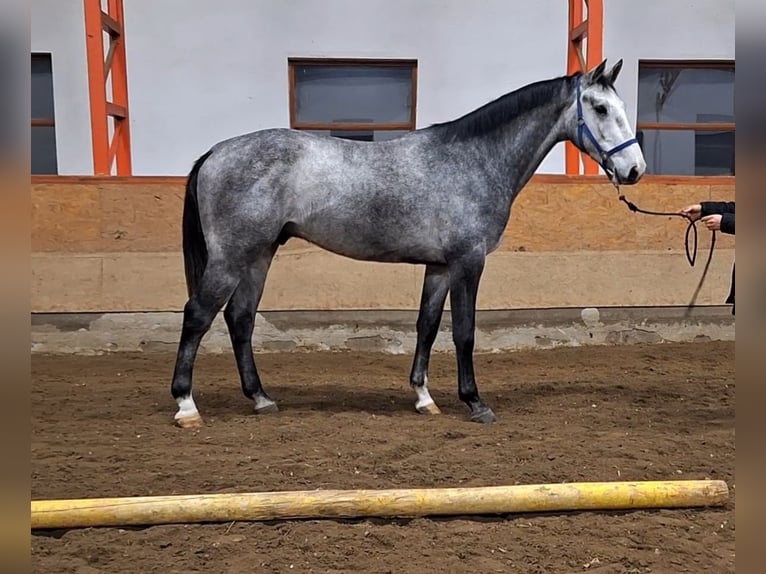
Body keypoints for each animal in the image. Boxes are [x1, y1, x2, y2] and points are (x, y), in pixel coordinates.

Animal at [170, 59, 648, 428]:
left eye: (623, 106)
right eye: (600, 107)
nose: (634, 170)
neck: (473, 160)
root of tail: (216, 152)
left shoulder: (439, 266)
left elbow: (427, 326)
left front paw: (424, 398)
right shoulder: (468, 262)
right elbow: (464, 332)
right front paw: (475, 402)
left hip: (259, 254)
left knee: (240, 319)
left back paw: (261, 398)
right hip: (231, 257)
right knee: (198, 315)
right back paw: (187, 406)